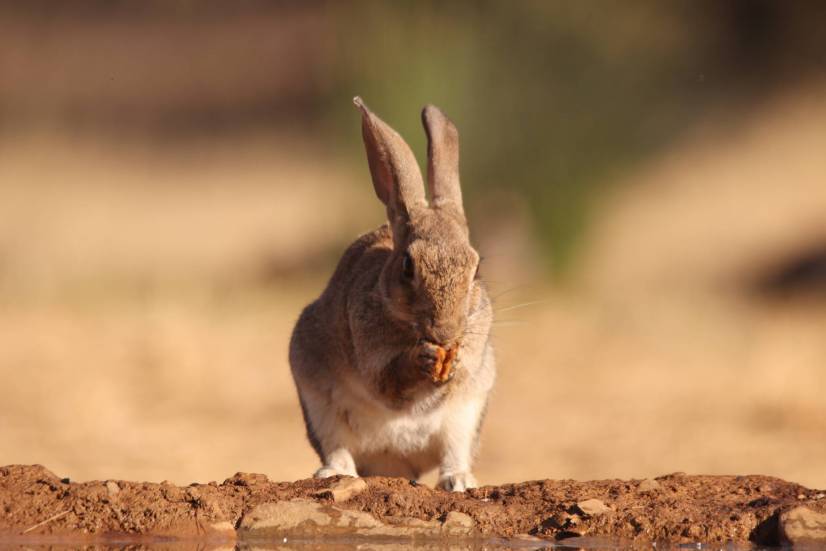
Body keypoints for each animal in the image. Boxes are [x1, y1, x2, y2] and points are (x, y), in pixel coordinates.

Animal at [286, 96, 492, 492]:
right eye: (408, 266)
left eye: (477, 268)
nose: (445, 332)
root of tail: (395, 462)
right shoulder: (371, 355)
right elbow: (388, 379)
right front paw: (424, 358)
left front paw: (452, 361)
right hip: (320, 404)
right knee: (339, 448)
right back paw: (335, 474)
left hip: (466, 418)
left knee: (453, 455)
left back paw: (460, 481)